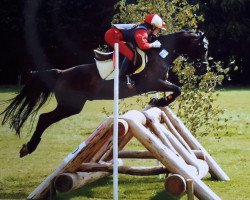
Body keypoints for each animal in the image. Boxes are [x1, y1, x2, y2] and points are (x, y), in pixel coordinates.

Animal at [0, 29, 209, 158]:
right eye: (203, 47)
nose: (205, 68)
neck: (159, 53)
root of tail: (61, 73)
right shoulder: (153, 82)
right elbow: (177, 89)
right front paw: (159, 102)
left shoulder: (159, 82)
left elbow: (174, 89)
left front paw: (157, 101)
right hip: (70, 106)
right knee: (44, 118)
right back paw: (29, 147)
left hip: (70, 106)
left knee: (45, 118)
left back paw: (28, 147)